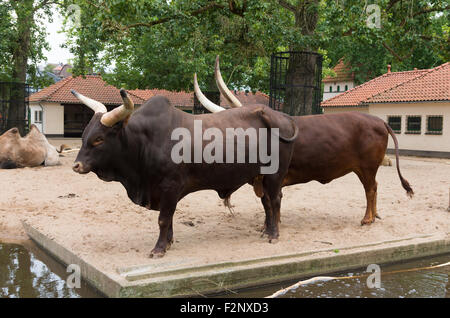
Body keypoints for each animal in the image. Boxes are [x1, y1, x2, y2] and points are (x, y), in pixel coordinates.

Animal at [71, 88, 298, 258]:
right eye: (84, 135)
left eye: (99, 139)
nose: (77, 166)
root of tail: (281, 117)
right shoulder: (163, 192)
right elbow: (169, 218)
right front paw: (168, 242)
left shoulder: (170, 187)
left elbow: (163, 219)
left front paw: (159, 249)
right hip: (259, 177)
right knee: (267, 203)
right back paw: (266, 231)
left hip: (274, 175)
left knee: (275, 201)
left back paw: (274, 235)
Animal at [200, 57, 414, 240]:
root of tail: (379, 121)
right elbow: (268, 203)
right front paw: (267, 226)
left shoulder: (272, 179)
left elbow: (272, 202)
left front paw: (271, 227)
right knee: (374, 187)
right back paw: (375, 216)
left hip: (367, 166)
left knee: (370, 188)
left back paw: (367, 218)